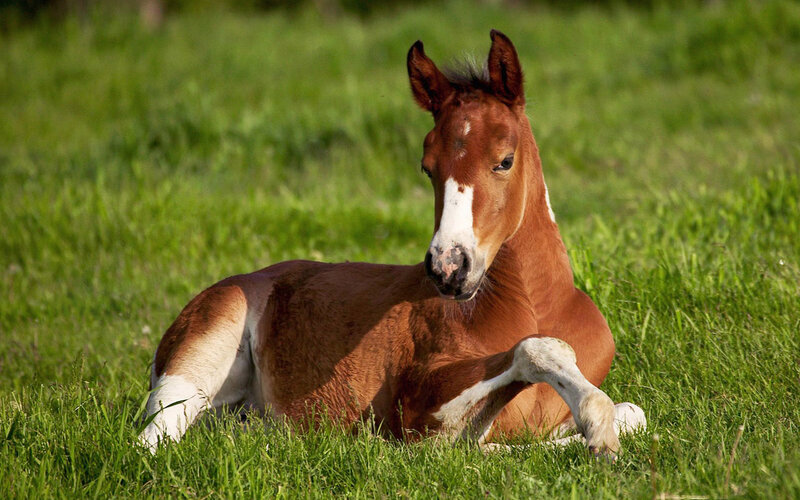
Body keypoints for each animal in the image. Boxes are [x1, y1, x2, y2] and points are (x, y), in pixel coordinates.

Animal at [138, 30, 646, 458]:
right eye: (427, 167)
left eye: (505, 160)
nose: (448, 267)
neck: (536, 306)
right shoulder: (416, 406)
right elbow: (531, 357)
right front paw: (596, 428)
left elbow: (634, 413)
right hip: (197, 359)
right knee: (151, 440)